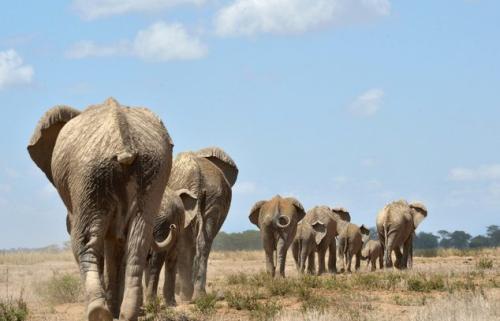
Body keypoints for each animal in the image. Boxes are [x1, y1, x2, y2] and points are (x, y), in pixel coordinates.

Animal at [26, 97, 174, 320]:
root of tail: (123, 142)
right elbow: (116, 243)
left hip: (89, 174)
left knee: (84, 240)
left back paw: (98, 312)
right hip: (151, 173)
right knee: (138, 240)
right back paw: (126, 313)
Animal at [168, 146, 238, 302]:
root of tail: (197, 176)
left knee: (186, 242)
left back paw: (185, 295)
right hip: (214, 198)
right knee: (203, 243)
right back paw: (199, 296)